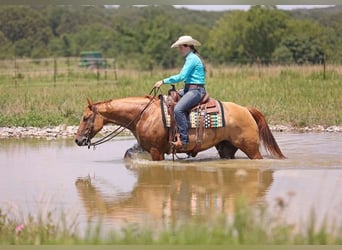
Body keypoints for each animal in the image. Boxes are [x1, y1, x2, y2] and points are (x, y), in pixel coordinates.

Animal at [75, 94, 286, 161]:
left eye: (85, 118)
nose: (77, 140)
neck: (143, 114)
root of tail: (246, 110)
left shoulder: (156, 151)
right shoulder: (144, 147)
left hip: (251, 148)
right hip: (226, 148)